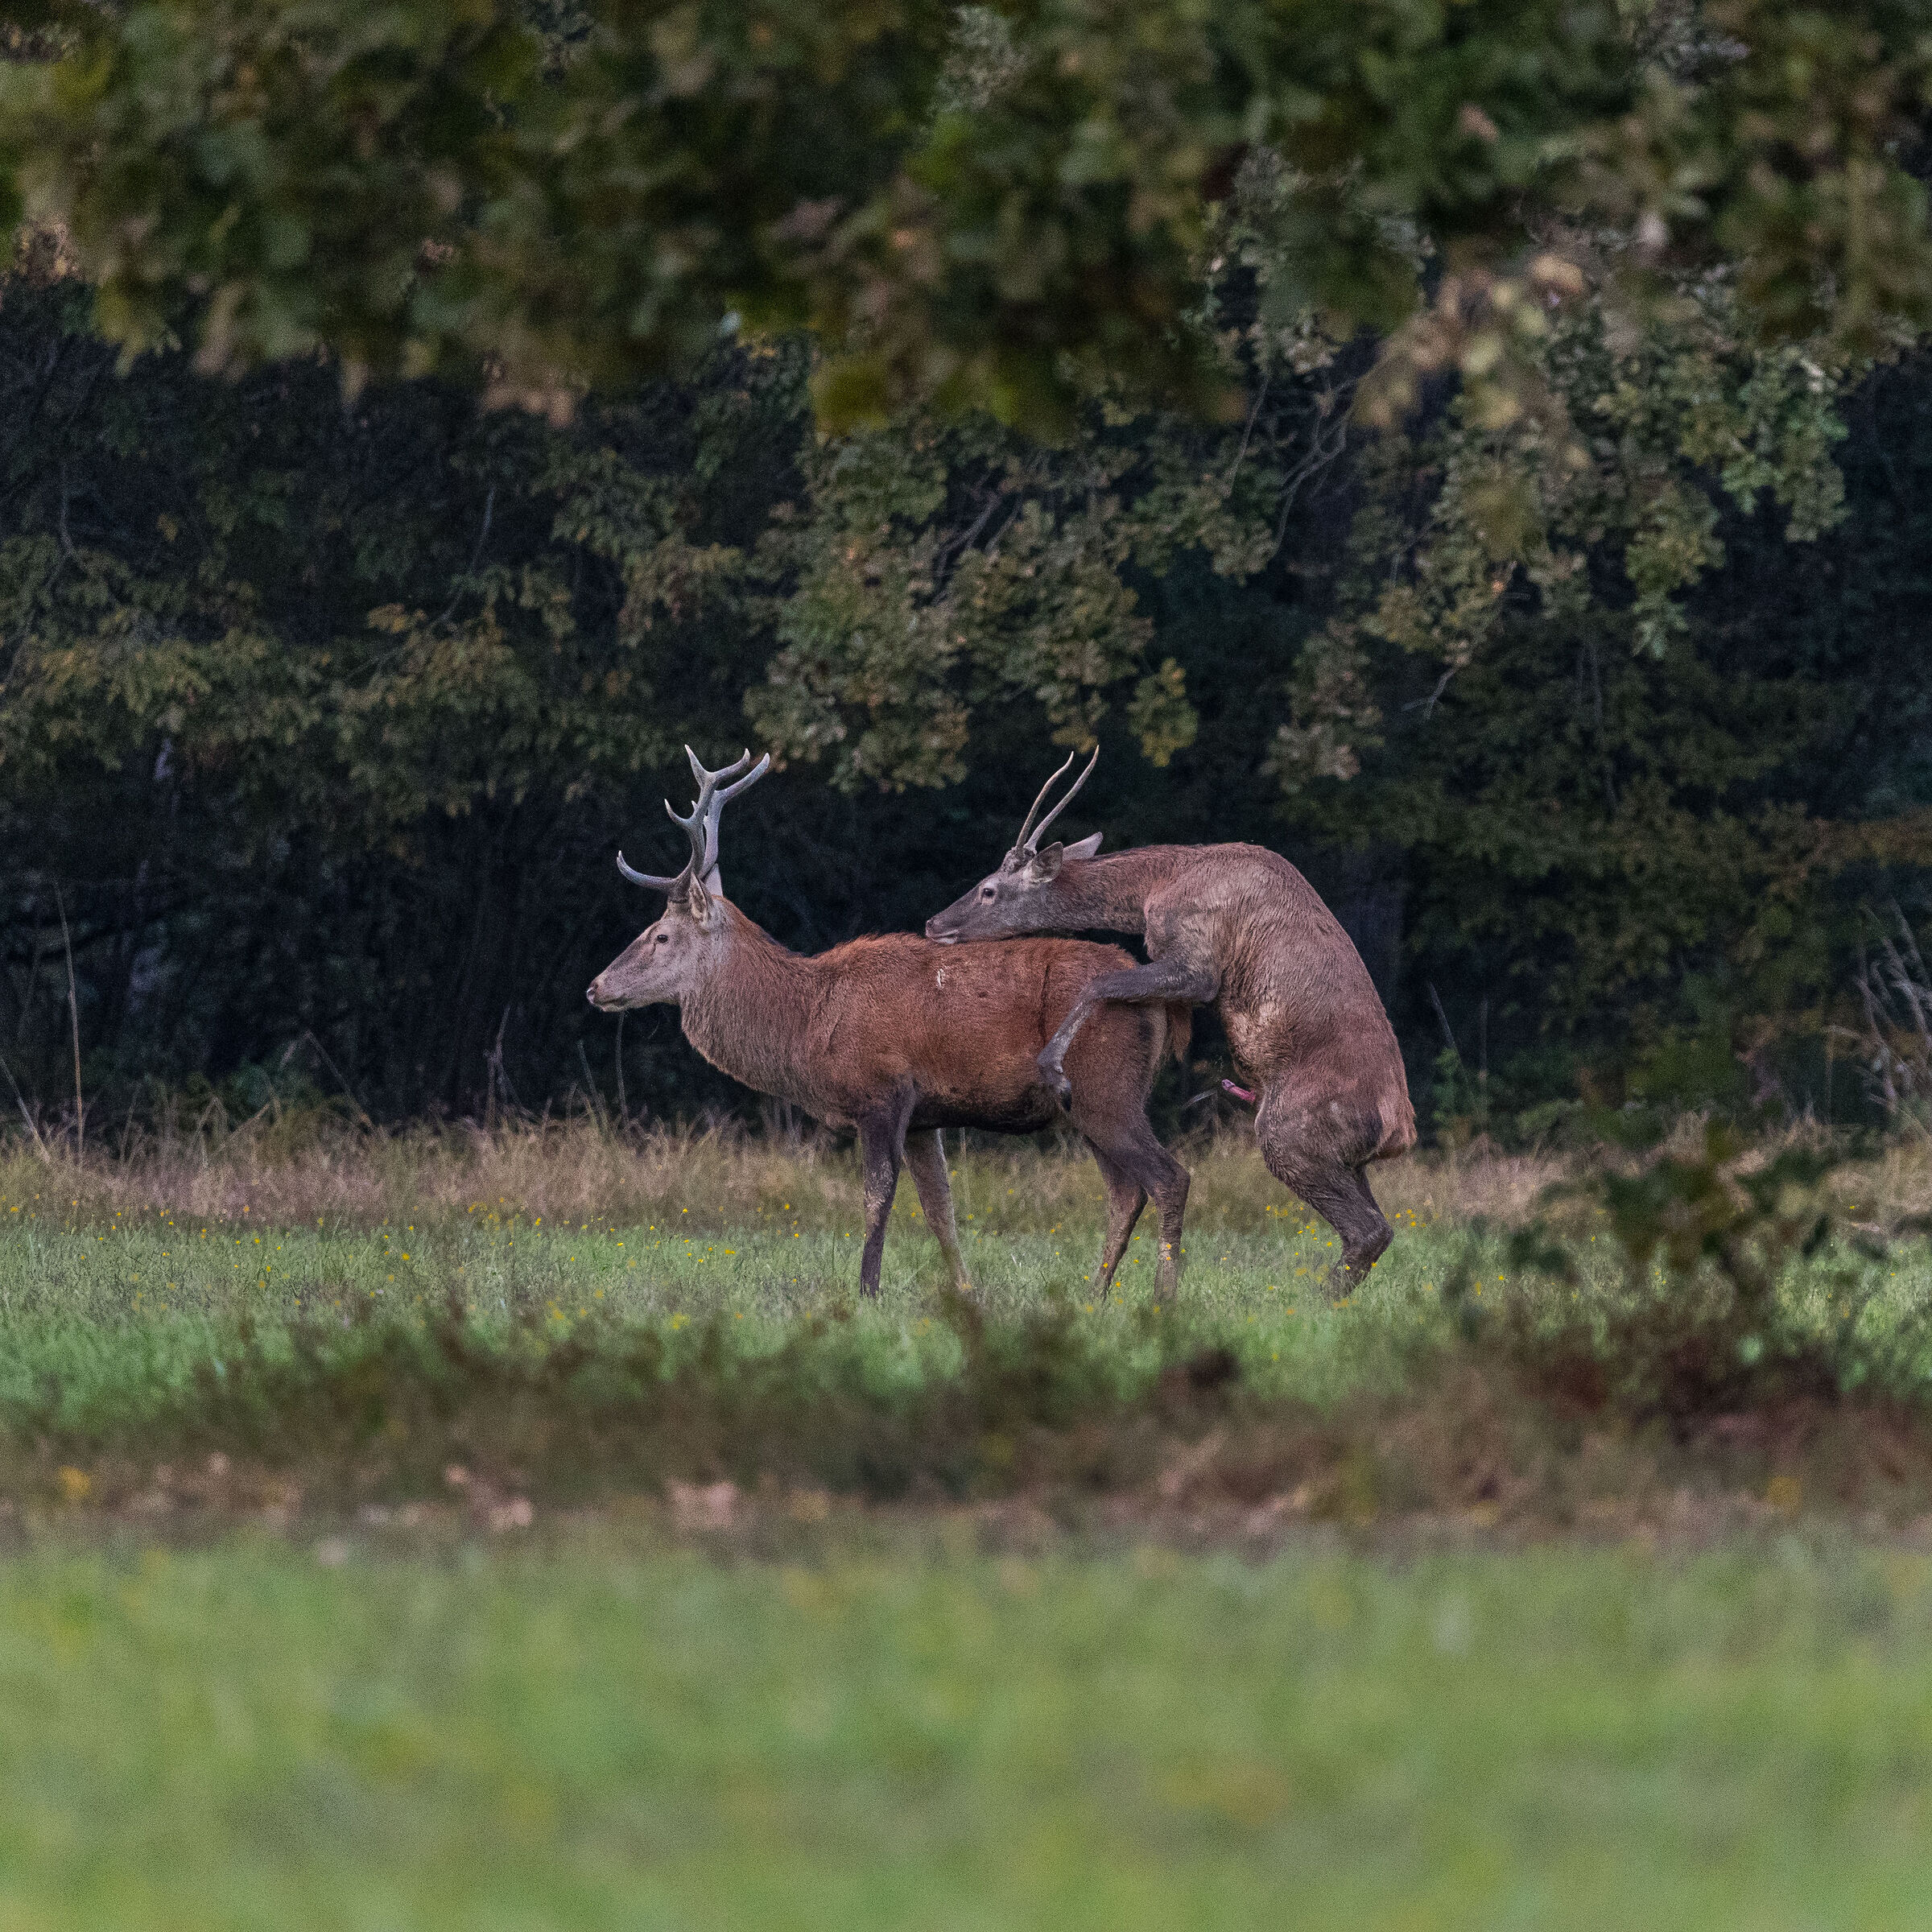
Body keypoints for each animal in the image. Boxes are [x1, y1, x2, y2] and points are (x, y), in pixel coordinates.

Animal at [586, 749, 1193, 1299]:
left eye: (661, 936)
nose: (596, 987)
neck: (807, 1024)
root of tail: (1162, 1005)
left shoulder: (881, 1092)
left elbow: (877, 1196)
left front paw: (867, 1292)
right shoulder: (927, 1116)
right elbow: (940, 1208)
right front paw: (964, 1292)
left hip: (1104, 1084)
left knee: (1168, 1178)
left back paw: (1160, 1298)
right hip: (1091, 1103)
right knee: (1124, 1191)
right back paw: (1096, 1295)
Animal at [924, 747, 1416, 1295]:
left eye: (989, 890)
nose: (935, 923)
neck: (1154, 889)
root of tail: (1400, 1133)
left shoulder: (1197, 959)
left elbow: (1100, 985)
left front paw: (1052, 1065)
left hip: (1290, 1131)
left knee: (1364, 1228)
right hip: (1347, 1159)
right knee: (1377, 1226)